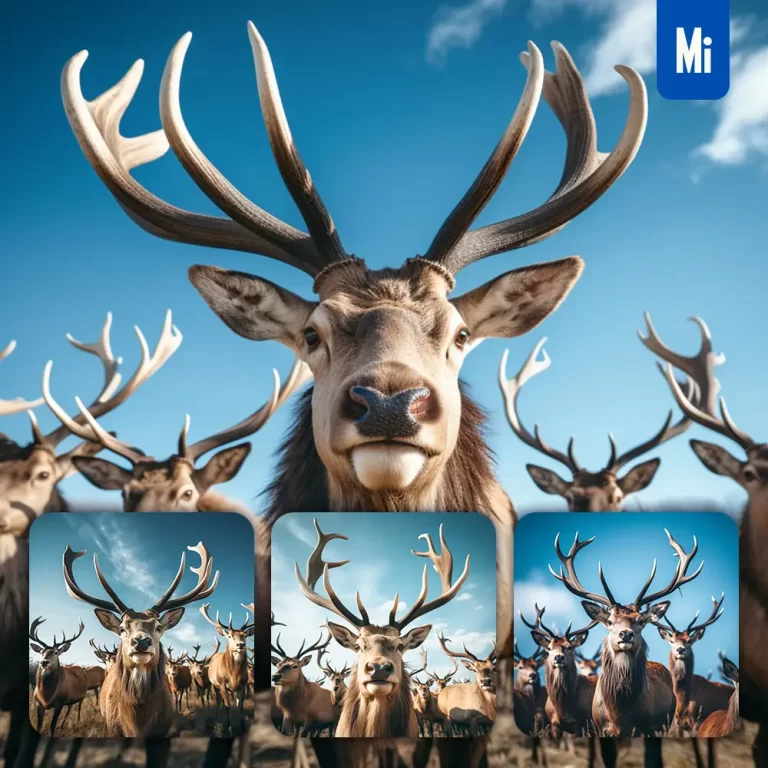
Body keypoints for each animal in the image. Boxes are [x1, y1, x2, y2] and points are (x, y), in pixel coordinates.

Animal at [61, 540, 219, 736]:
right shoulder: (114, 729)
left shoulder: (163, 727)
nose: (141, 641)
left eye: (158, 627)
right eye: (122, 628)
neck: (137, 724)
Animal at [518, 603, 597, 737]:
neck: (563, 710)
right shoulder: (554, 724)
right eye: (549, 648)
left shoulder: (583, 723)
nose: (558, 657)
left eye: (569, 647)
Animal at [548, 530, 708, 738]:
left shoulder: (647, 727)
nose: (626, 634)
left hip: (666, 723)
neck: (620, 714)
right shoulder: (599, 726)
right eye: (609, 622)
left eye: (640, 621)